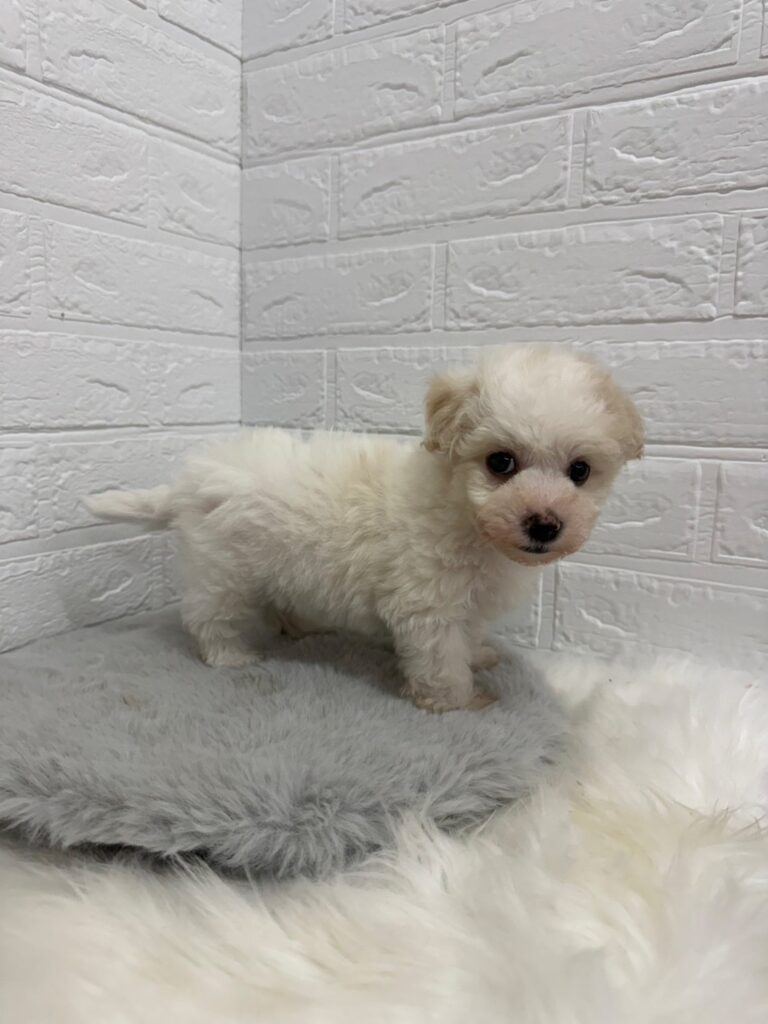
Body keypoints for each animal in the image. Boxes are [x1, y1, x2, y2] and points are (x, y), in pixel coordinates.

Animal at [85, 345, 643, 712]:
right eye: (501, 462)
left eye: (580, 471)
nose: (544, 524)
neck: (464, 514)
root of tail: (188, 481)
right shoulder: (428, 606)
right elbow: (442, 658)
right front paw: (458, 703)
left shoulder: (465, 602)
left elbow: (468, 636)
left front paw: (480, 657)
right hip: (220, 572)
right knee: (209, 618)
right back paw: (231, 657)